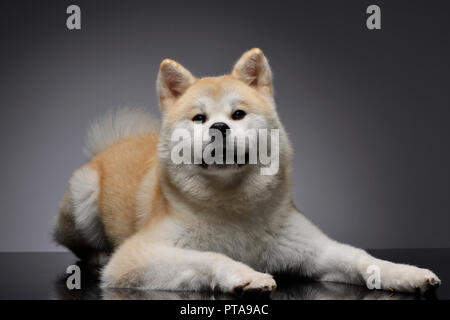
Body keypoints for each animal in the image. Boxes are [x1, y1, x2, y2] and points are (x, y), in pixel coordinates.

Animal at [54, 48, 442, 296]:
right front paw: (243, 274)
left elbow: (364, 259)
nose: (219, 128)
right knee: (80, 246)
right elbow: (210, 256)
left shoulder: (316, 250)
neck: (233, 206)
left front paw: (406, 273)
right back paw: (98, 254)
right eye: (199, 118)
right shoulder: (136, 258)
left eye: (238, 114)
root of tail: (121, 141)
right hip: (83, 195)